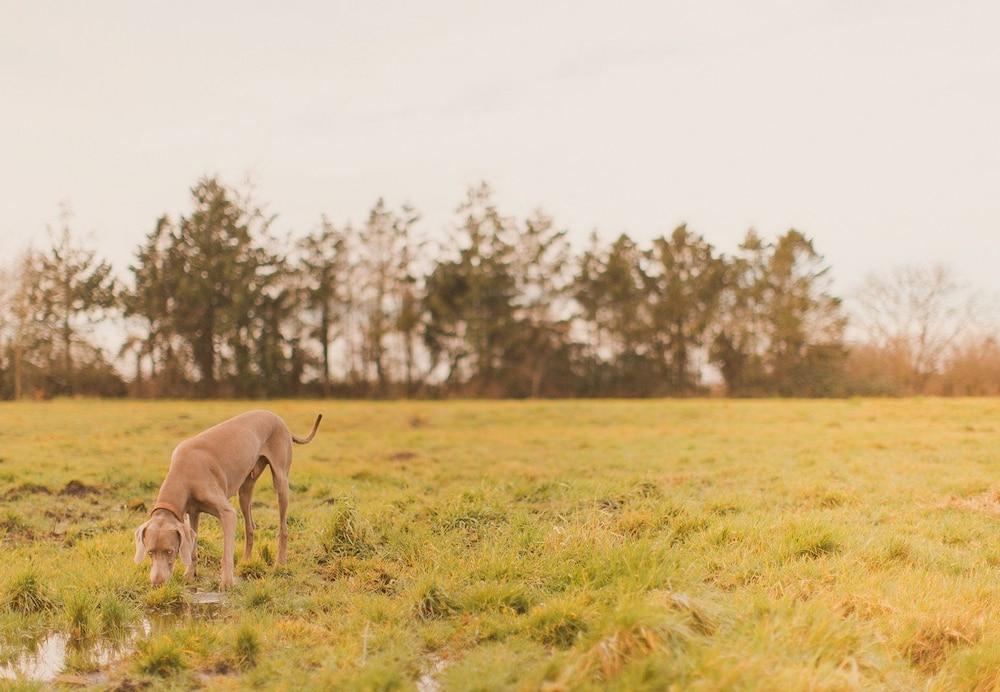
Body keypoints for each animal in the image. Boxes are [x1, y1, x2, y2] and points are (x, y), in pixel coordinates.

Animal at [132, 410, 320, 588]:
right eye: (149, 552)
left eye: (170, 551)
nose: (157, 583)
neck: (182, 473)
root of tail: (279, 419)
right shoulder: (192, 513)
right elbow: (192, 546)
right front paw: (190, 575)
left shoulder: (227, 513)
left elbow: (226, 553)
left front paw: (227, 583)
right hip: (245, 488)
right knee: (250, 526)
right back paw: (245, 562)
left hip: (281, 480)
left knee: (283, 526)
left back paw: (279, 564)